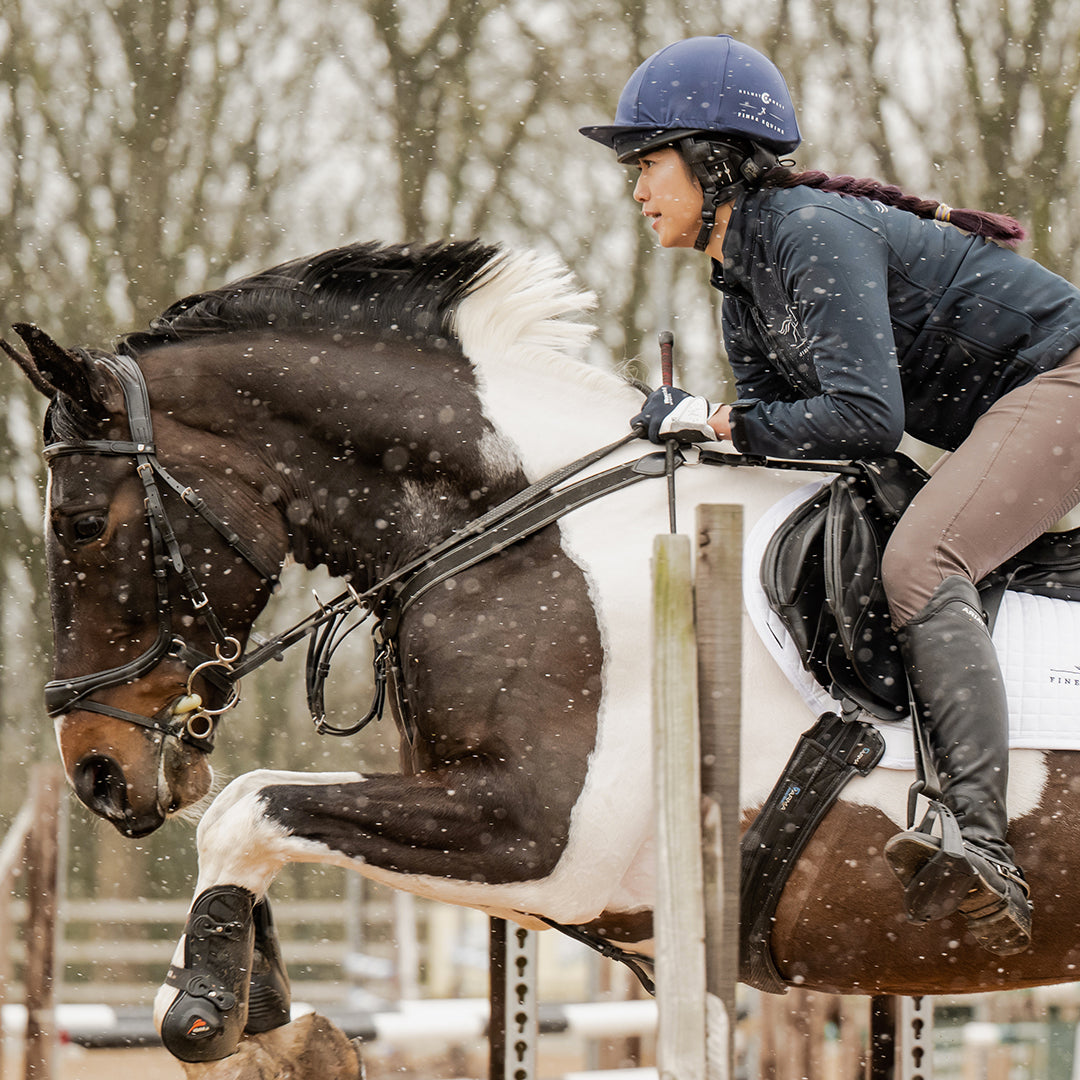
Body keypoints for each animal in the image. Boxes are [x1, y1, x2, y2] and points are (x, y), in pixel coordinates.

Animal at [6, 238, 1080, 1062]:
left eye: (81, 526)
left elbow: (248, 805)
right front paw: (267, 1013)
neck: (517, 533)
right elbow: (258, 810)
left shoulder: (542, 839)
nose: (95, 771)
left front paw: (206, 1008)